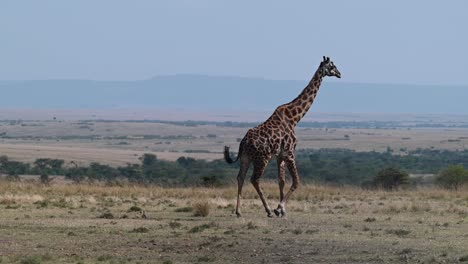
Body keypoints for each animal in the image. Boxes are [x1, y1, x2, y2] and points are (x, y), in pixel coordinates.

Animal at [223, 56, 340, 217]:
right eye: (332, 66)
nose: (340, 74)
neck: (294, 118)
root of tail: (244, 142)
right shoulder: (290, 152)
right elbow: (296, 181)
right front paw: (278, 208)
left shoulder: (280, 155)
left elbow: (282, 181)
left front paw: (282, 210)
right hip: (262, 158)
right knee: (255, 179)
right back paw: (267, 211)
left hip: (246, 157)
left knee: (240, 177)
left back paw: (238, 211)